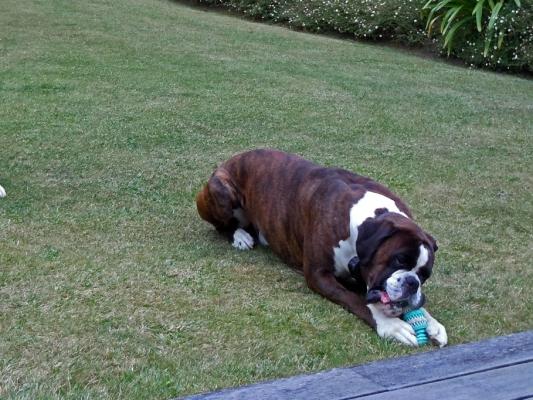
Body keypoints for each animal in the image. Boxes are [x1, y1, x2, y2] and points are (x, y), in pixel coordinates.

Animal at [195, 148, 444, 346]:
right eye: (398, 259)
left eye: (424, 275)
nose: (412, 282)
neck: (359, 223)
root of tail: (229, 160)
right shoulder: (319, 275)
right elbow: (357, 301)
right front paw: (390, 325)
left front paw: (432, 322)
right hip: (220, 191)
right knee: (222, 226)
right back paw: (240, 236)